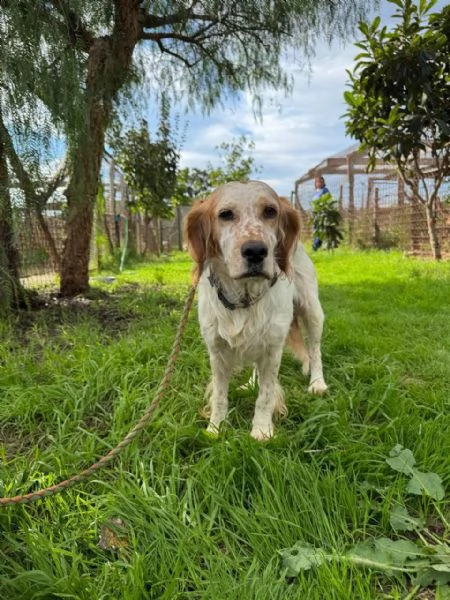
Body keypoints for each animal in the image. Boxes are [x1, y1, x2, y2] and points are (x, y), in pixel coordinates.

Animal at [185, 180, 328, 438]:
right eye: (225, 214)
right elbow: (220, 396)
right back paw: (251, 383)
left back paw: (317, 383)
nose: (255, 251)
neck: (244, 297)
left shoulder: (273, 348)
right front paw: (215, 428)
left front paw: (261, 430)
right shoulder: (216, 349)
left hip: (312, 312)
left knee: (315, 350)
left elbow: (266, 395)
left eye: (270, 211)